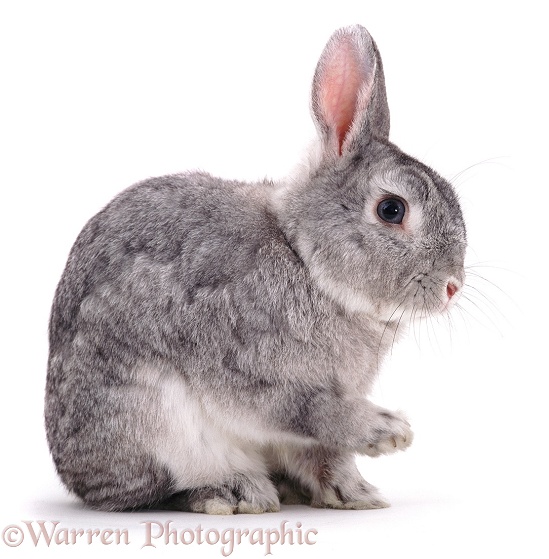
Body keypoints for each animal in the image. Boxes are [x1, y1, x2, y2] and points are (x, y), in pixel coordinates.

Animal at [42, 26, 464, 516]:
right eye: (392, 209)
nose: (453, 286)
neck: (303, 258)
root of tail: (74, 472)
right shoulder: (250, 371)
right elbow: (307, 411)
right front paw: (388, 431)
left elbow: (325, 456)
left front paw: (357, 494)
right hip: (149, 424)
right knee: (160, 489)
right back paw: (235, 492)